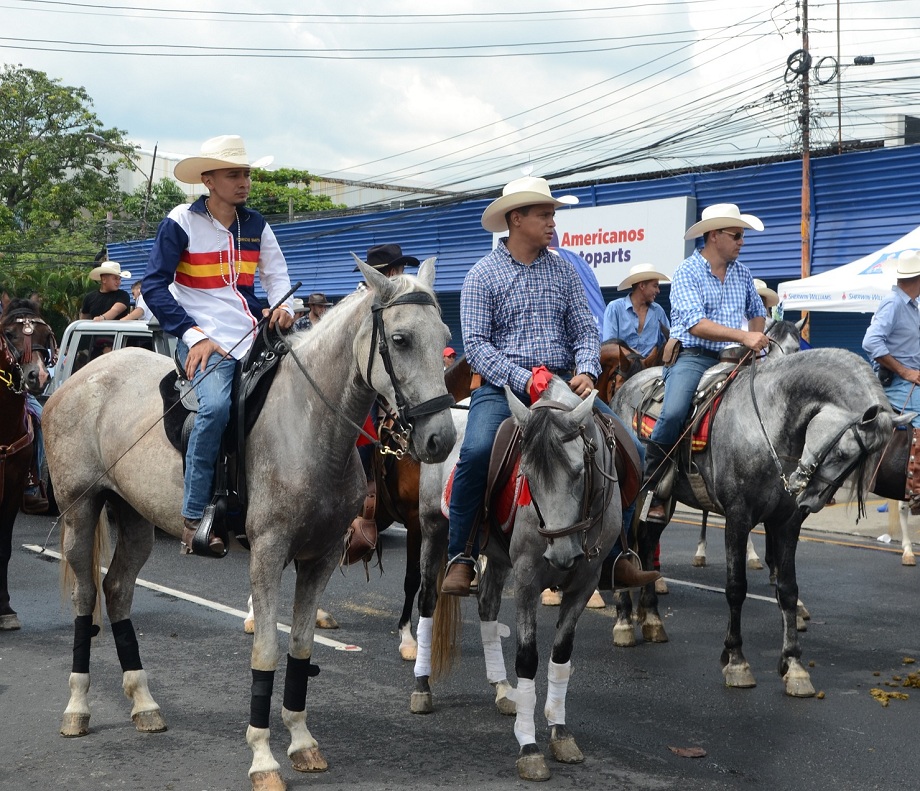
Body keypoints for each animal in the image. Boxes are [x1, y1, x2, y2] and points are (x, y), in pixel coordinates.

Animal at [43, 260, 456, 791]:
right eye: (401, 339)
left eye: (445, 336)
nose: (440, 438)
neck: (308, 423)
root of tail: (77, 379)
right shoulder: (268, 553)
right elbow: (266, 650)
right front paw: (263, 758)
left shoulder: (320, 558)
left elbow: (300, 645)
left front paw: (301, 742)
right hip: (80, 511)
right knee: (85, 597)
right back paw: (77, 707)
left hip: (133, 518)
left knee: (116, 591)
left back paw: (143, 703)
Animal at [416, 380, 620, 784]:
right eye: (526, 476)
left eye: (579, 471)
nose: (561, 555)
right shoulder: (527, 578)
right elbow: (527, 659)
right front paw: (529, 747)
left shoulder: (585, 583)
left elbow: (561, 655)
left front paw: (560, 732)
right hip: (432, 530)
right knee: (426, 601)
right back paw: (422, 687)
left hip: (495, 557)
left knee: (487, 607)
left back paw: (501, 689)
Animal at [612, 350, 912, 696]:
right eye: (842, 451)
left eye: (859, 462)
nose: (809, 500)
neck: (770, 421)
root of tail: (625, 385)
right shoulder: (738, 518)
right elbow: (735, 588)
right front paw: (736, 660)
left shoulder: (787, 523)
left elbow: (788, 590)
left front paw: (794, 665)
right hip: (631, 495)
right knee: (624, 547)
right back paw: (623, 619)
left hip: (664, 501)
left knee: (648, 544)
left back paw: (651, 618)